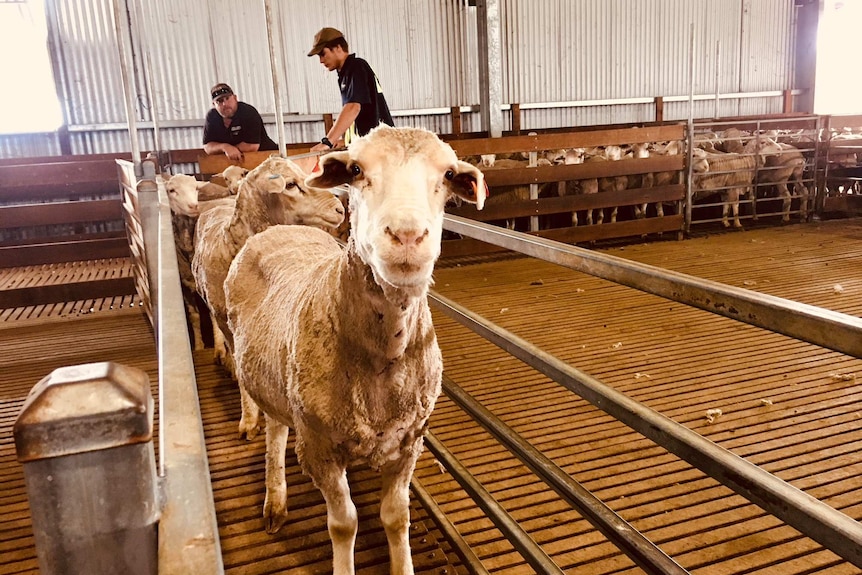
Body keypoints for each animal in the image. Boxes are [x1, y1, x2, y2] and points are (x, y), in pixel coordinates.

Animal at [223, 126, 486, 575]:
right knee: (275, 430)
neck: (383, 357)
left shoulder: (409, 443)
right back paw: (275, 499)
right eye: (357, 170)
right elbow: (344, 524)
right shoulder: (319, 448)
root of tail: (276, 229)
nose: (407, 236)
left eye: (449, 174)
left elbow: (396, 517)